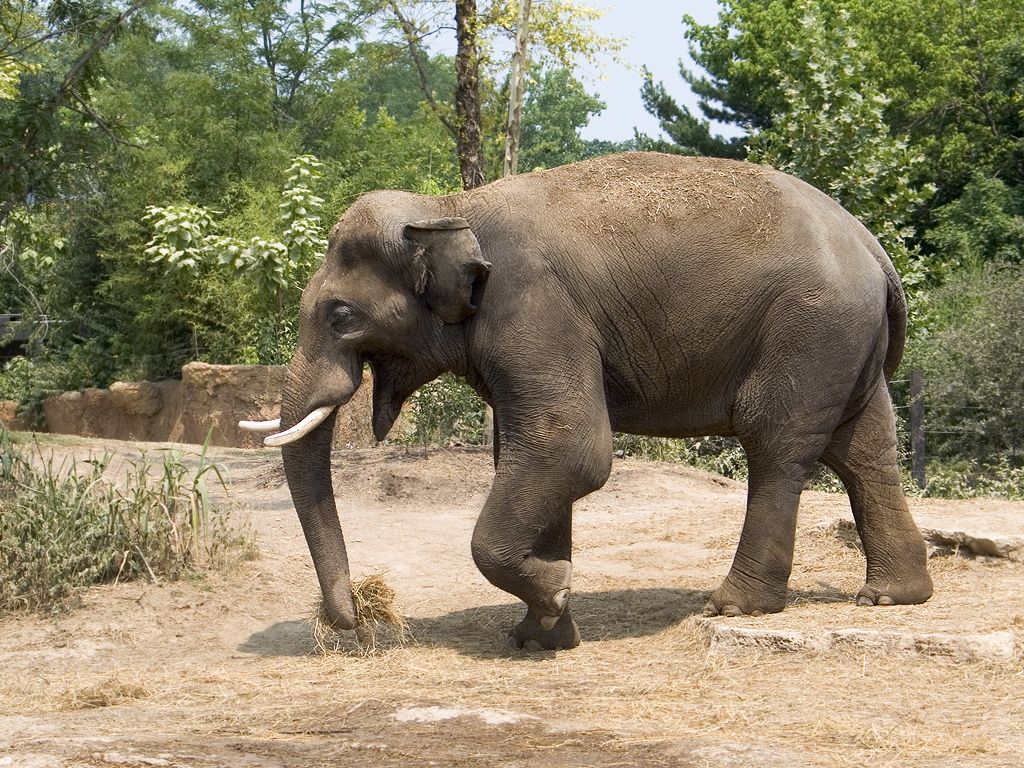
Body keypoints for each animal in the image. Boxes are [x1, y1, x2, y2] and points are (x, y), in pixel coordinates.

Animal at [240, 152, 932, 651]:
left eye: (339, 315)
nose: (356, 617)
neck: (450, 209)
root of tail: (876, 251)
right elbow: (529, 454)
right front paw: (540, 635)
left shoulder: (535, 309)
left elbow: (570, 449)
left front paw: (555, 595)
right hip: (845, 342)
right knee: (865, 448)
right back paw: (892, 597)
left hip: (809, 330)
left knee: (777, 446)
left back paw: (734, 605)